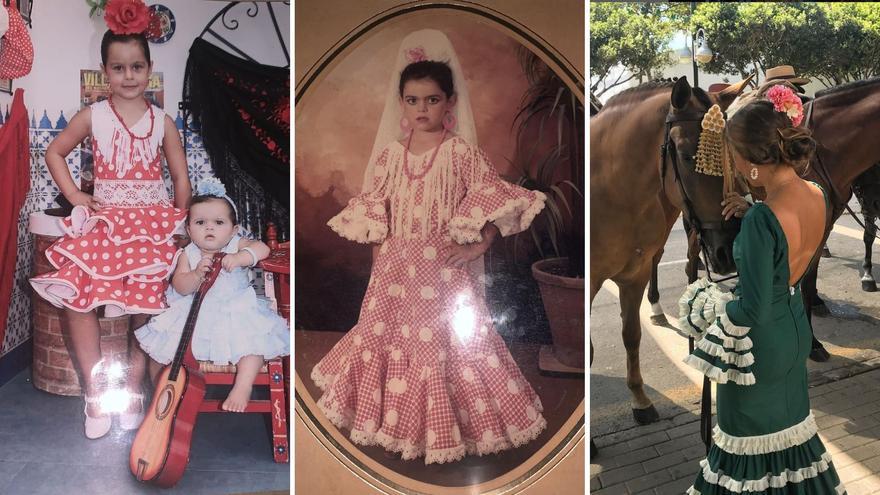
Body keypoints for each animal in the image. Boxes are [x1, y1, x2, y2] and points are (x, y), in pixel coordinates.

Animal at [592, 77, 748, 426]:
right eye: (690, 157)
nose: (727, 250)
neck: (613, 192)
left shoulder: (633, 276)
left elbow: (631, 334)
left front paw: (639, 400)